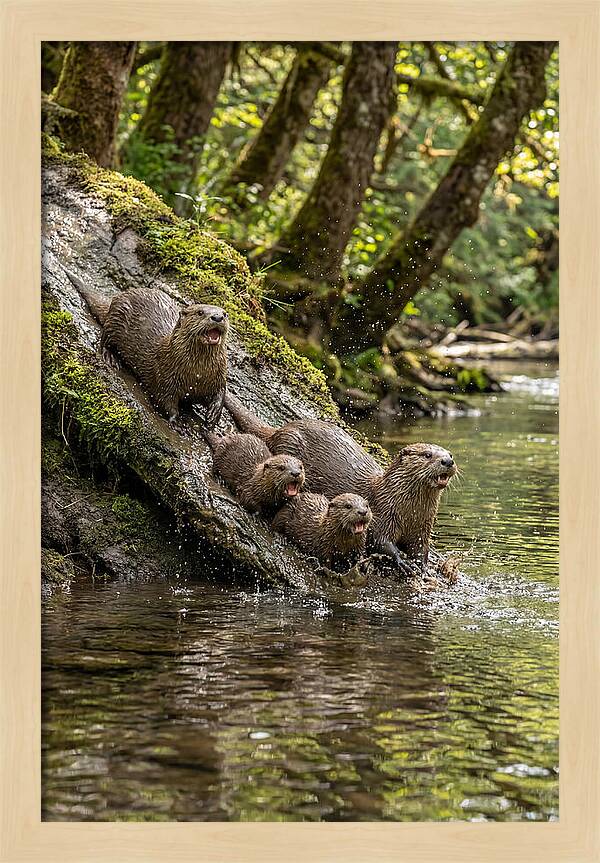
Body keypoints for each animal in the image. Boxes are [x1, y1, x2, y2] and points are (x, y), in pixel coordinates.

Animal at [67, 272, 228, 428]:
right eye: (200, 312)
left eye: (225, 313)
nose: (217, 317)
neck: (197, 375)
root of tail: (121, 295)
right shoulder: (165, 376)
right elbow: (164, 400)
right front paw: (177, 421)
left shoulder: (218, 376)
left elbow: (221, 391)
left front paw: (213, 414)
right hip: (116, 317)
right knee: (105, 337)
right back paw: (110, 357)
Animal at [224, 394, 457, 569]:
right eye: (427, 455)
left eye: (450, 453)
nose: (447, 461)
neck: (410, 512)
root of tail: (280, 431)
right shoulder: (383, 515)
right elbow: (381, 541)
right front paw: (402, 561)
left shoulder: (422, 528)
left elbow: (421, 549)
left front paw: (422, 566)